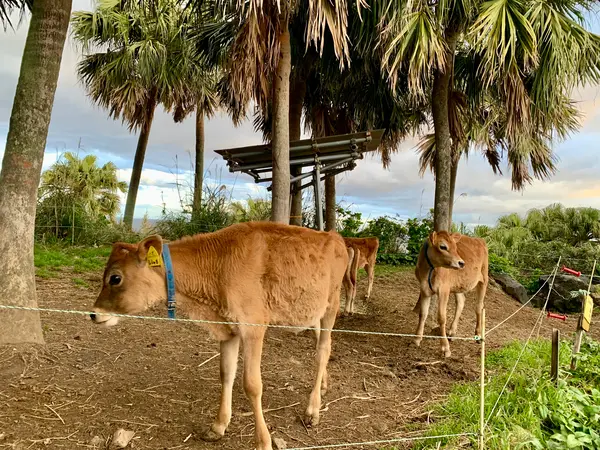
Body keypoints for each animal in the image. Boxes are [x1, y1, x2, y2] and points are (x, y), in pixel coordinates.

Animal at [91, 221, 350, 450]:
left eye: (115, 278)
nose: (93, 313)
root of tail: (334, 236)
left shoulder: (253, 327)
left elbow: (252, 385)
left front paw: (263, 441)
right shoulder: (227, 329)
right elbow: (226, 374)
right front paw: (218, 426)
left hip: (331, 305)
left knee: (323, 350)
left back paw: (312, 410)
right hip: (312, 311)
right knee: (320, 344)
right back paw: (323, 386)